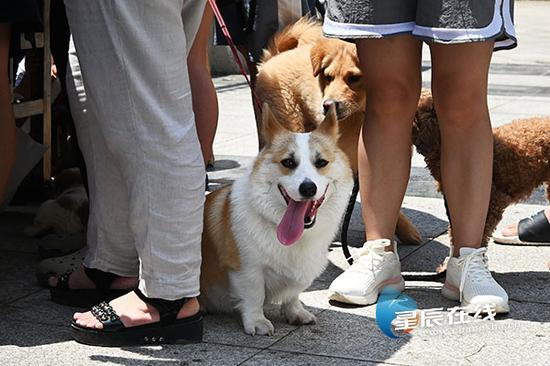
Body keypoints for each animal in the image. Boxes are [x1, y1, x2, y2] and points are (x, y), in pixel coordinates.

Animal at [201, 104, 356, 336]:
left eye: (321, 162)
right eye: (288, 162)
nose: (308, 188)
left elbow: (293, 294)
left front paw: (295, 312)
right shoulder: (247, 269)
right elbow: (254, 296)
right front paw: (257, 322)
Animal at [256, 17, 422, 246]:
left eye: (354, 78)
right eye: (328, 76)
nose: (327, 106)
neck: (360, 116)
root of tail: (273, 57)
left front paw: (401, 230)